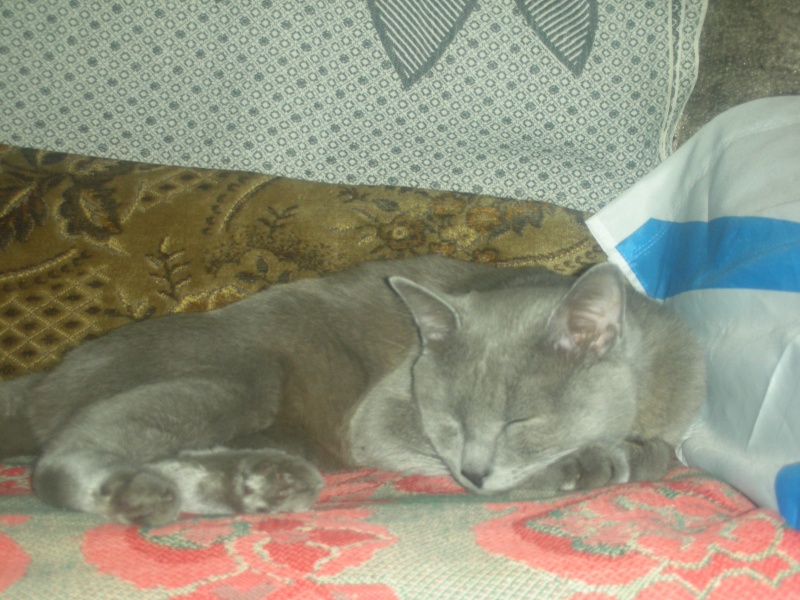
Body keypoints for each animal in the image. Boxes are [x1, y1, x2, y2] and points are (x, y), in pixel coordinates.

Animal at [0, 256, 704, 526]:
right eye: (448, 421)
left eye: (518, 421)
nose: (474, 472)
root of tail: (41, 379)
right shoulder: (381, 418)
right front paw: (590, 463)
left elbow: (659, 452)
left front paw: (630, 454)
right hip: (239, 373)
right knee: (64, 456)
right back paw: (135, 492)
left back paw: (258, 484)